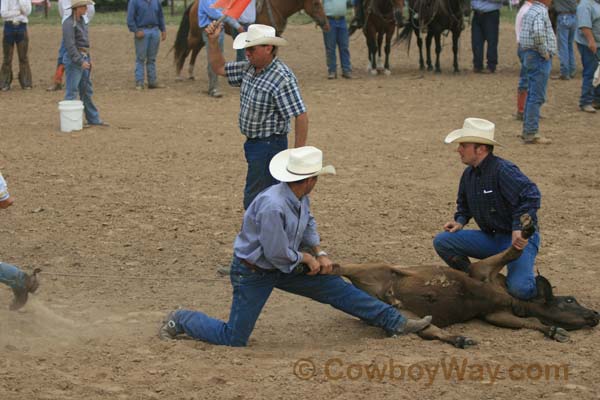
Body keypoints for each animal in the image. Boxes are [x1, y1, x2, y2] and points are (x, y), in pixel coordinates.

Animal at [171, 0, 330, 80]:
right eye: (316, 3)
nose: (326, 24)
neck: (275, 7)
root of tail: (194, 4)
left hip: (199, 36)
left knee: (195, 50)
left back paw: (190, 73)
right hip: (195, 34)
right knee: (185, 49)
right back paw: (178, 73)